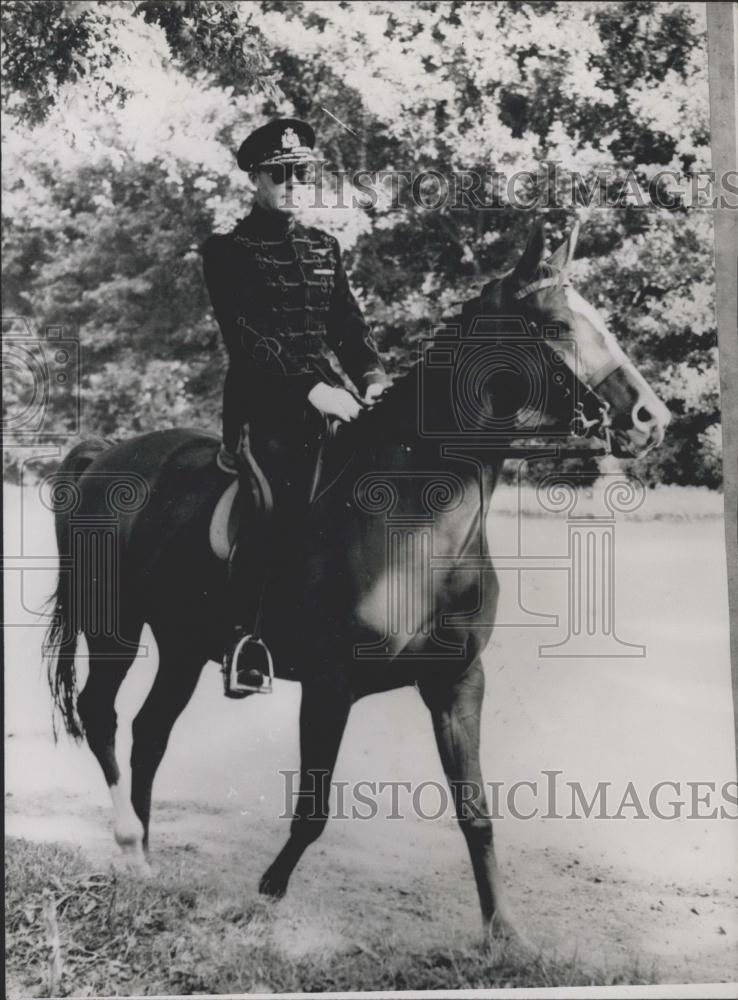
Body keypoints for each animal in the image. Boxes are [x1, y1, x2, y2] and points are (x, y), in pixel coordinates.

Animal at [44, 223, 668, 948]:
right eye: (554, 326)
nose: (651, 418)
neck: (416, 519)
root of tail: (107, 456)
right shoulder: (330, 684)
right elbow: (313, 809)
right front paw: (263, 898)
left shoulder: (457, 681)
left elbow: (475, 811)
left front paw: (504, 933)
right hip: (113, 628)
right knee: (102, 714)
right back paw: (126, 841)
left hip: (183, 643)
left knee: (150, 731)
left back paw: (144, 857)